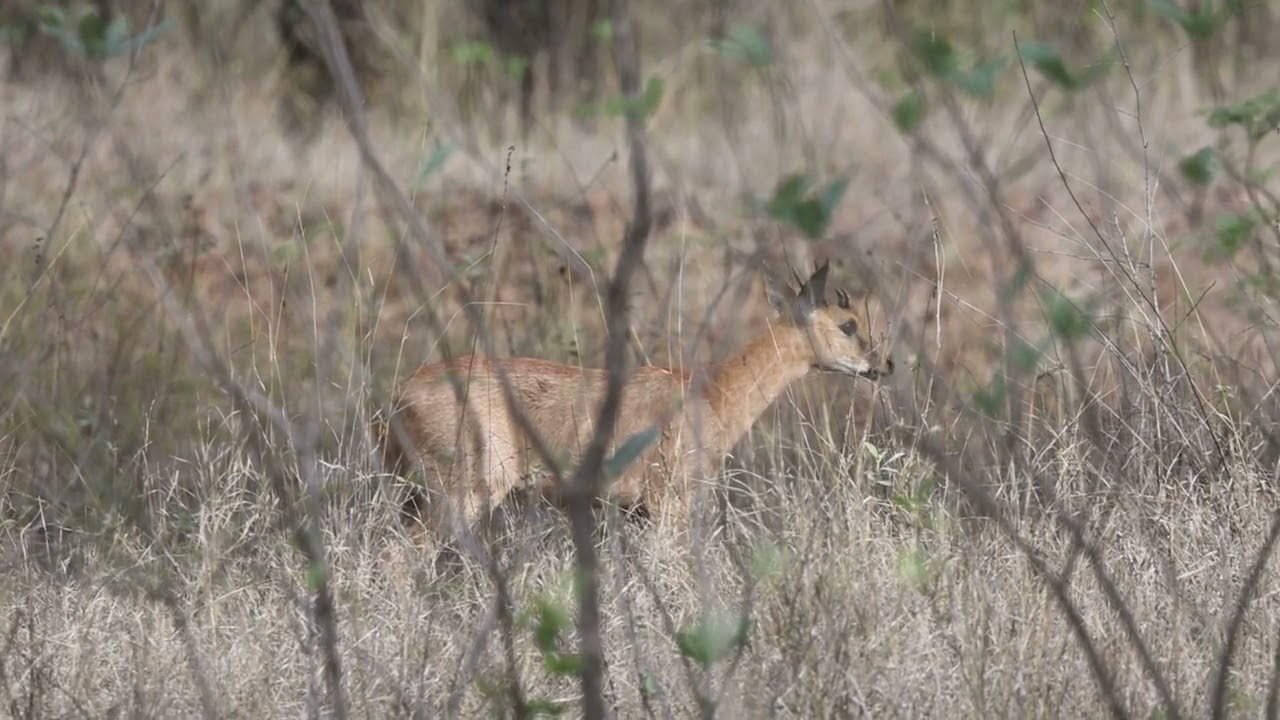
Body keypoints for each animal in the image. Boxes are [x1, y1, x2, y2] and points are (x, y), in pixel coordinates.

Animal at [378, 260, 893, 553]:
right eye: (847, 323)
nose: (884, 363)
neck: (713, 393)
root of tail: (396, 395)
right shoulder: (671, 504)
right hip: (461, 492)